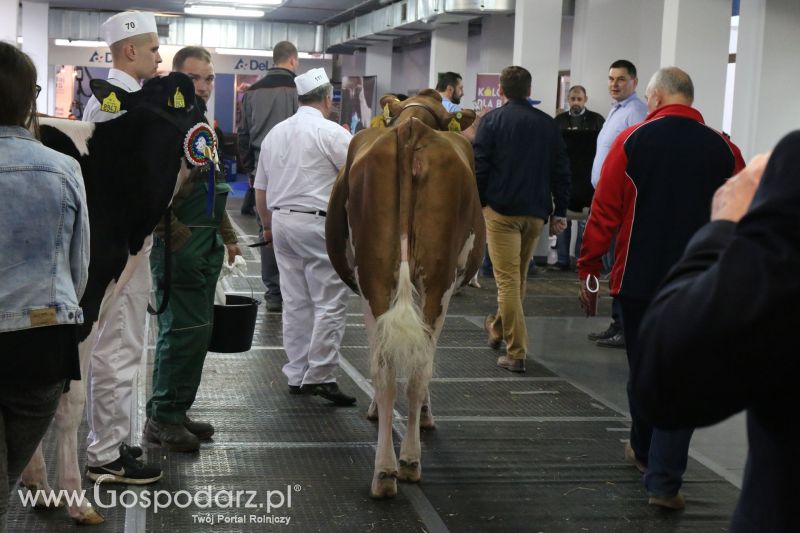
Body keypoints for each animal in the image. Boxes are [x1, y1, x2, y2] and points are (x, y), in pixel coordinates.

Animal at [326, 89, 488, 496]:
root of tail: (411, 128)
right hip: (436, 281)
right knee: (415, 369)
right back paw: (407, 461)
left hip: (377, 276)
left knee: (389, 371)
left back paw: (387, 470)